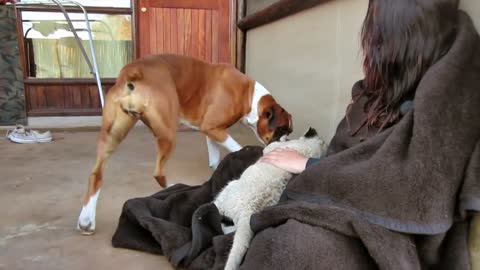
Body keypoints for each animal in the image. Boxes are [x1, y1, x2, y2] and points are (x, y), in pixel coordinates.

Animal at [78, 53, 292, 234]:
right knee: (158, 172)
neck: (249, 95)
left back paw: (86, 220)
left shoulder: (212, 132)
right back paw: (174, 186)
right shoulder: (214, 129)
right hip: (168, 134)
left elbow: (215, 159)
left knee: (96, 175)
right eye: (283, 130)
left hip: (112, 134)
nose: (288, 139)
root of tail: (135, 71)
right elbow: (238, 148)